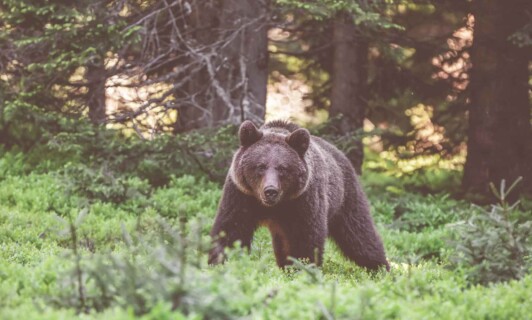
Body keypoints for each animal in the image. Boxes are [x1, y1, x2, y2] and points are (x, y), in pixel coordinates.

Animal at [209, 120, 390, 270]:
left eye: (282, 168)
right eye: (260, 166)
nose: (270, 191)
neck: (274, 206)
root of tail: (340, 153)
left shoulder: (303, 200)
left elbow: (306, 238)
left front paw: (302, 269)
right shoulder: (241, 194)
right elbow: (231, 229)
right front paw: (218, 263)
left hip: (345, 197)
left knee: (360, 235)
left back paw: (381, 269)